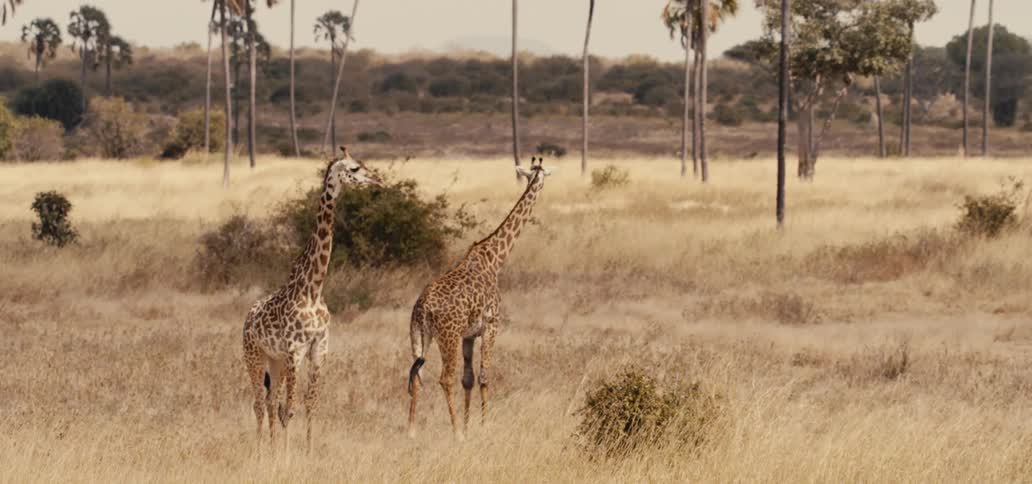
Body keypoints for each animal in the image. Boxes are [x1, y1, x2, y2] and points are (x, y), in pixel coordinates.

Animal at [242, 146, 381, 452]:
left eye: (363, 163)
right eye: (354, 169)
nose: (377, 180)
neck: (313, 290)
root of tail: (246, 319)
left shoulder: (319, 349)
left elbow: (310, 404)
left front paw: (306, 452)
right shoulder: (295, 350)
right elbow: (290, 409)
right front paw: (286, 456)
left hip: (276, 361)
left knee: (270, 400)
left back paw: (270, 449)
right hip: (254, 357)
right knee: (259, 403)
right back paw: (259, 452)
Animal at [406, 157, 552, 440]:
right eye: (540, 176)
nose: (540, 186)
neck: (495, 259)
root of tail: (423, 307)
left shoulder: (468, 335)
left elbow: (468, 379)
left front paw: (469, 424)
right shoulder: (491, 326)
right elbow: (484, 375)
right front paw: (482, 427)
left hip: (418, 335)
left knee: (416, 374)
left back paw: (412, 431)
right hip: (447, 337)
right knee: (444, 378)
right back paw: (455, 434)